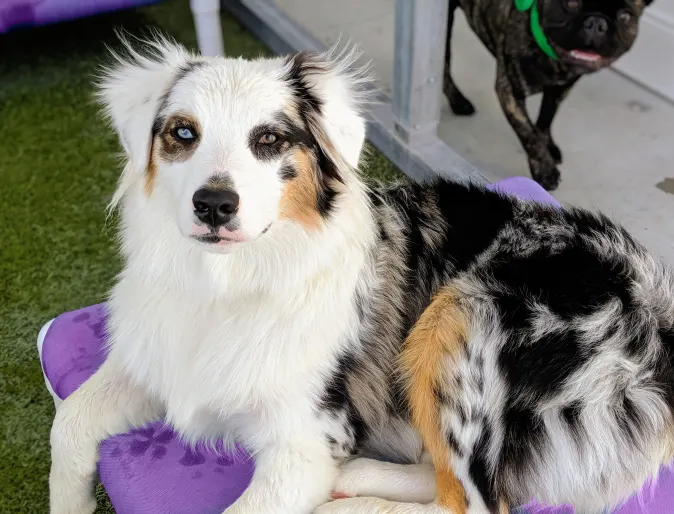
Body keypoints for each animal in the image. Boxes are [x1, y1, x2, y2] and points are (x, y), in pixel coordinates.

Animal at [50, 38, 672, 512]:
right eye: (183, 133)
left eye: (269, 139)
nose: (214, 205)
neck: (228, 280)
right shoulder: (155, 359)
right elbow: (69, 422)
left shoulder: (307, 439)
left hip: (462, 320)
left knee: (473, 501)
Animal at [446, 0, 652, 190]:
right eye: (571, 3)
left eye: (625, 16)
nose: (596, 22)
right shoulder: (510, 91)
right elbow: (528, 133)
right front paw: (545, 169)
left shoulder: (560, 89)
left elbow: (547, 116)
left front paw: (548, 145)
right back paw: (458, 101)